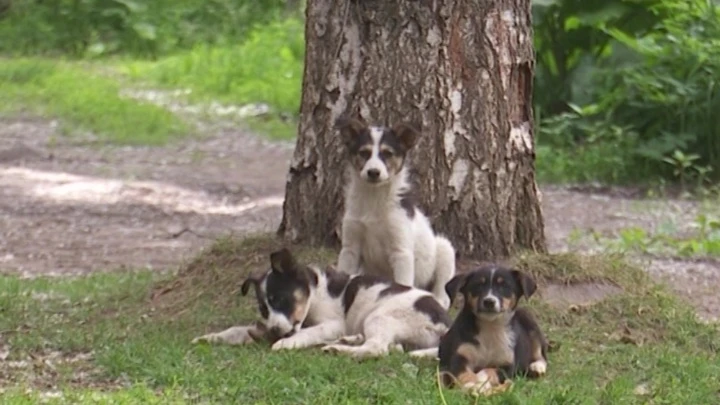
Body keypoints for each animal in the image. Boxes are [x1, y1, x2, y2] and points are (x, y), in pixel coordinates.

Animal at [191, 248, 450, 358]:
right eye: (264, 309)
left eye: (282, 299)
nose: (274, 332)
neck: (315, 295)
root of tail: (444, 325)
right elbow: (236, 330)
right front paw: (210, 338)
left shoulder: (332, 323)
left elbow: (307, 333)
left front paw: (286, 344)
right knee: (391, 347)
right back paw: (347, 341)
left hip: (382, 316)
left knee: (377, 348)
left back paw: (340, 349)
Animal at [334, 117, 456, 310]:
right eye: (364, 153)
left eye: (388, 153)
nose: (373, 172)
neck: (374, 198)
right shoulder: (350, 248)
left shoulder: (401, 252)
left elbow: (403, 285)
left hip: (445, 248)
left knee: (443, 293)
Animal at [436, 266, 548, 394]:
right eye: (478, 285)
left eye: (504, 286)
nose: (489, 301)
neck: (490, 327)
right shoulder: (459, 358)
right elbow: (464, 373)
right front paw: (472, 384)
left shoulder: (507, 366)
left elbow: (488, 370)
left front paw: (481, 383)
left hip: (529, 320)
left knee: (542, 354)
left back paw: (537, 367)